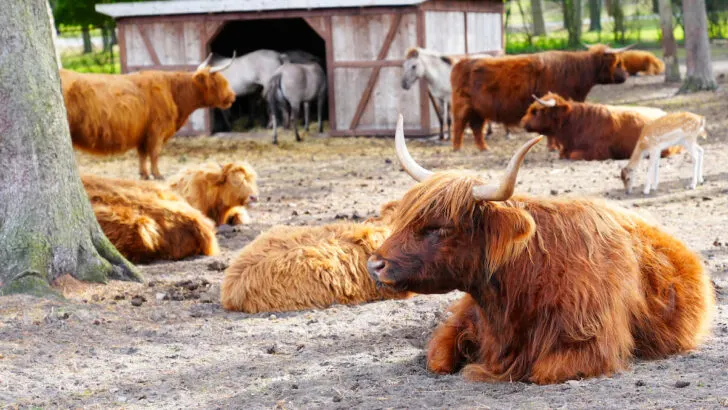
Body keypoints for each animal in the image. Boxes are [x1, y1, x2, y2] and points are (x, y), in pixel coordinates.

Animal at [61, 55, 236, 180]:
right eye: (218, 81)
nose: (233, 96)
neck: (173, 91)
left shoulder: (143, 134)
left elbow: (142, 154)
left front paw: (144, 174)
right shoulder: (156, 130)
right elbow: (154, 153)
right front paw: (157, 174)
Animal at [449, 45, 632, 151]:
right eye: (618, 63)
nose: (627, 75)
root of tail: (462, 62)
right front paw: (553, 147)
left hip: (478, 110)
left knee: (476, 127)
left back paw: (484, 148)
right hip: (462, 107)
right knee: (459, 125)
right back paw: (457, 148)